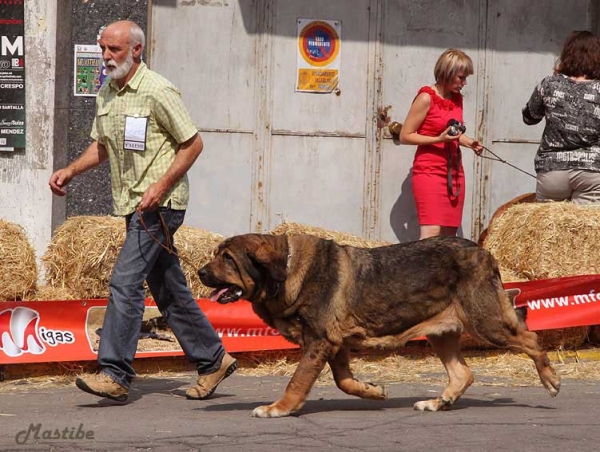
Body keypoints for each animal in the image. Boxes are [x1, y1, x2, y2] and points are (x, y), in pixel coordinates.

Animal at [199, 235, 560, 418]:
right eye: (216, 254)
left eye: (228, 258)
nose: (201, 272)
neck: (284, 273)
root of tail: (480, 249)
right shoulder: (334, 345)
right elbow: (344, 381)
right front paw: (373, 391)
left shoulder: (319, 342)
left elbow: (297, 382)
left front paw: (280, 408)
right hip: (441, 332)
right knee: (463, 374)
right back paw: (437, 402)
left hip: (487, 323)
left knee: (530, 337)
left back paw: (551, 379)